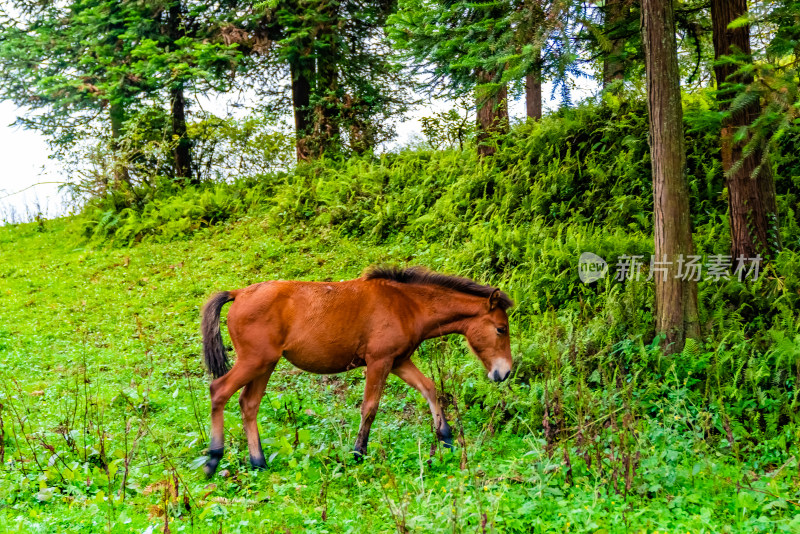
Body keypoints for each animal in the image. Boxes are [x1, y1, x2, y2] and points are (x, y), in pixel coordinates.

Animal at [199, 266, 512, 480]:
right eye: (501, 328)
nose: (504, 372)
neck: (407, 305)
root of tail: (238, 294)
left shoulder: (398, 361)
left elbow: (429, 387)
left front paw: (445, 436)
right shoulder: (379, 362)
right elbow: (370, 407)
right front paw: (358, 452)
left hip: (266, 365)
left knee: (248, 404)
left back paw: (259, 462)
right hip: (255, 361)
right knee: (219, 391)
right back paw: (214, 458)